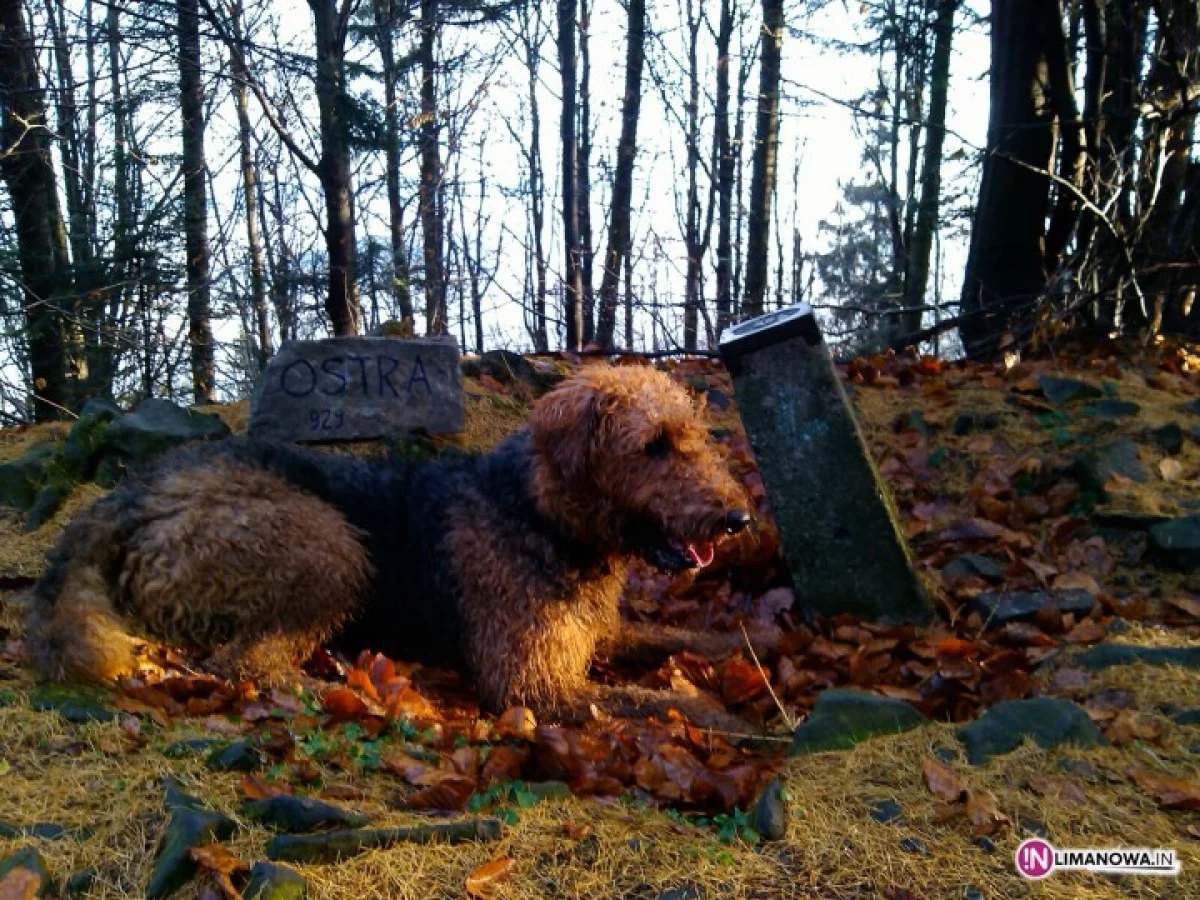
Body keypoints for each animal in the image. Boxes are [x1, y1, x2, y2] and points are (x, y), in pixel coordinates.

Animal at [30, 367, 777, 734]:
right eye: (653, 445)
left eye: (695, 435)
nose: (736, 517)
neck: (537, 511)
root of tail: (127, 496)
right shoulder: (533, 683)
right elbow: (648, 700)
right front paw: (728, 715)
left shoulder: (599, 632)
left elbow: (677, 636)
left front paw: (756, 645)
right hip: (332, 546)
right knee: (247, 665)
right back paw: (364, 696)